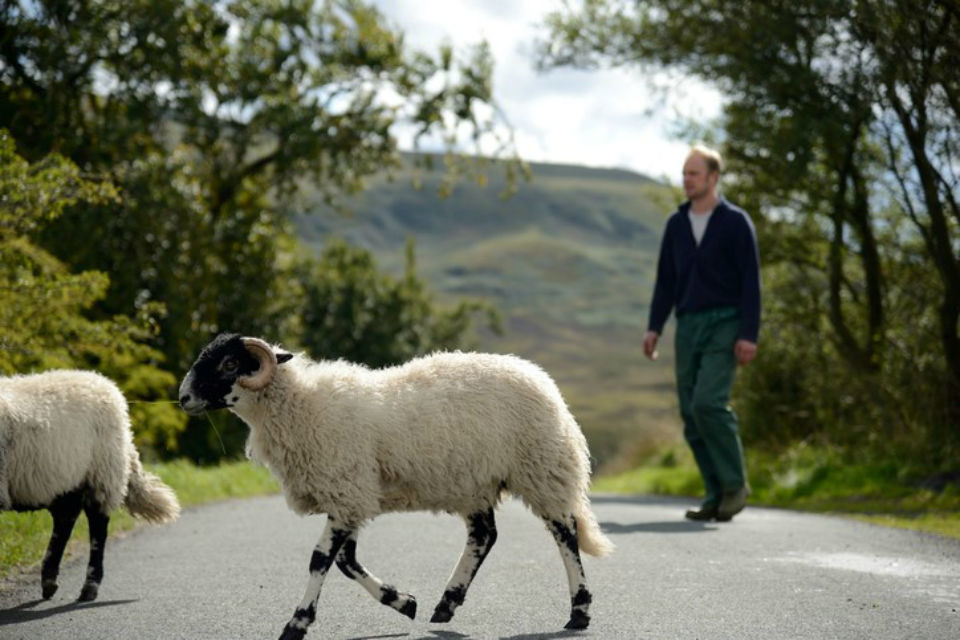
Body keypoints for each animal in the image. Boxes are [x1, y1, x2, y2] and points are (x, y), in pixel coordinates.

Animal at [0, 368, 180, 604]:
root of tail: (103, 381)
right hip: (68, 480)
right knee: (65, 521)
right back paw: (49, 581)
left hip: (101, 471)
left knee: (97, 527)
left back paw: (89, 587)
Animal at [178, 332, 616, 640]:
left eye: (229, 362)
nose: (182, 397)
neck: (299, 405)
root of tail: (539, 378)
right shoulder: (352, 496)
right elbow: (346, 561)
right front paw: (403, 602)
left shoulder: (347, 491)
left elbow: (321, 560)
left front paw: (297, 623)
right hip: (474, 481)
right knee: (484, 536)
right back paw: (446, 603)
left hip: (541, 468)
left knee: (564, 533)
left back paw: (579, 612)